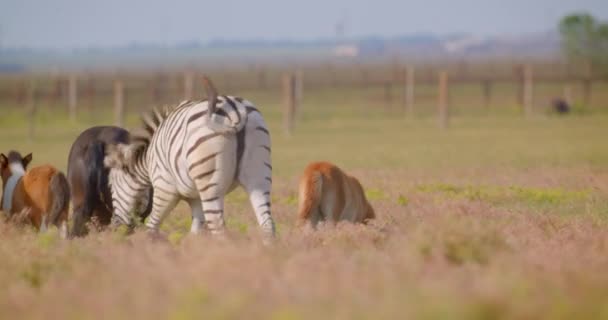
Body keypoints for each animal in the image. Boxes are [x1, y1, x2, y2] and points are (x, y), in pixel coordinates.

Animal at [104, 76, 276, 239]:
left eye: (111, 187)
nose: (113, 227)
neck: (148, 160)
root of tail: (234, 109)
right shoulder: (195, 198)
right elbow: (195, 232)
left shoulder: (164, 187)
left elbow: (152, 227)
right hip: (259, 175)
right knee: (267, 224)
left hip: (209, 182)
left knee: (217, 226)